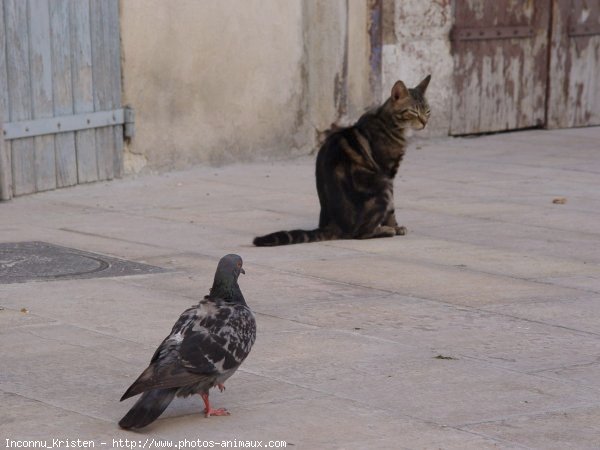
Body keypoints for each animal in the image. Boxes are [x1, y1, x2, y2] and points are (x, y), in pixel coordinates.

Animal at [253, 75, 432, 248]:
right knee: (360, 233)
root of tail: (333, 224)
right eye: (413, 112)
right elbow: (392, 209)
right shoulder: (388, 173)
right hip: (381, 187)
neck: (387, 121)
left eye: (428, 111)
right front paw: (395, 226)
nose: (424, 122)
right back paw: (386, 230)